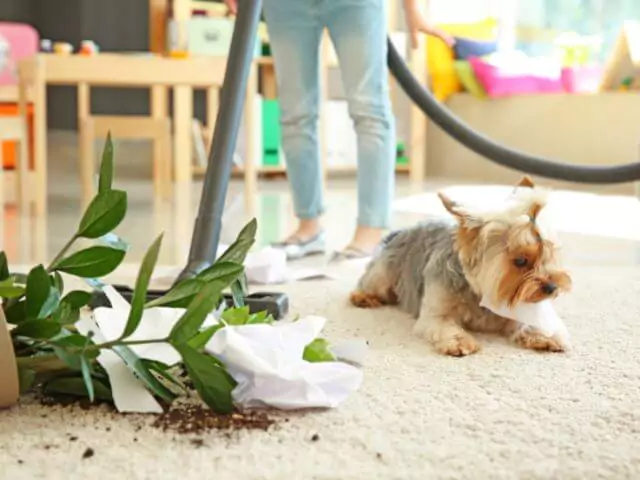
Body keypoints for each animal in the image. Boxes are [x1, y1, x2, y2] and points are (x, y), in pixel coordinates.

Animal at [352, 177, 572, 356]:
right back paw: (363, 297)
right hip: (383, 273)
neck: (480, 294)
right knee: (369, 282)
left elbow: (529, 323)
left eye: (550, 253)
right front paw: (459, 342)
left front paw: (545, 336)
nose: (552, 288)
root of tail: (399, 232)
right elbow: (444, 325)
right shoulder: (435, 314)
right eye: (520, 261)